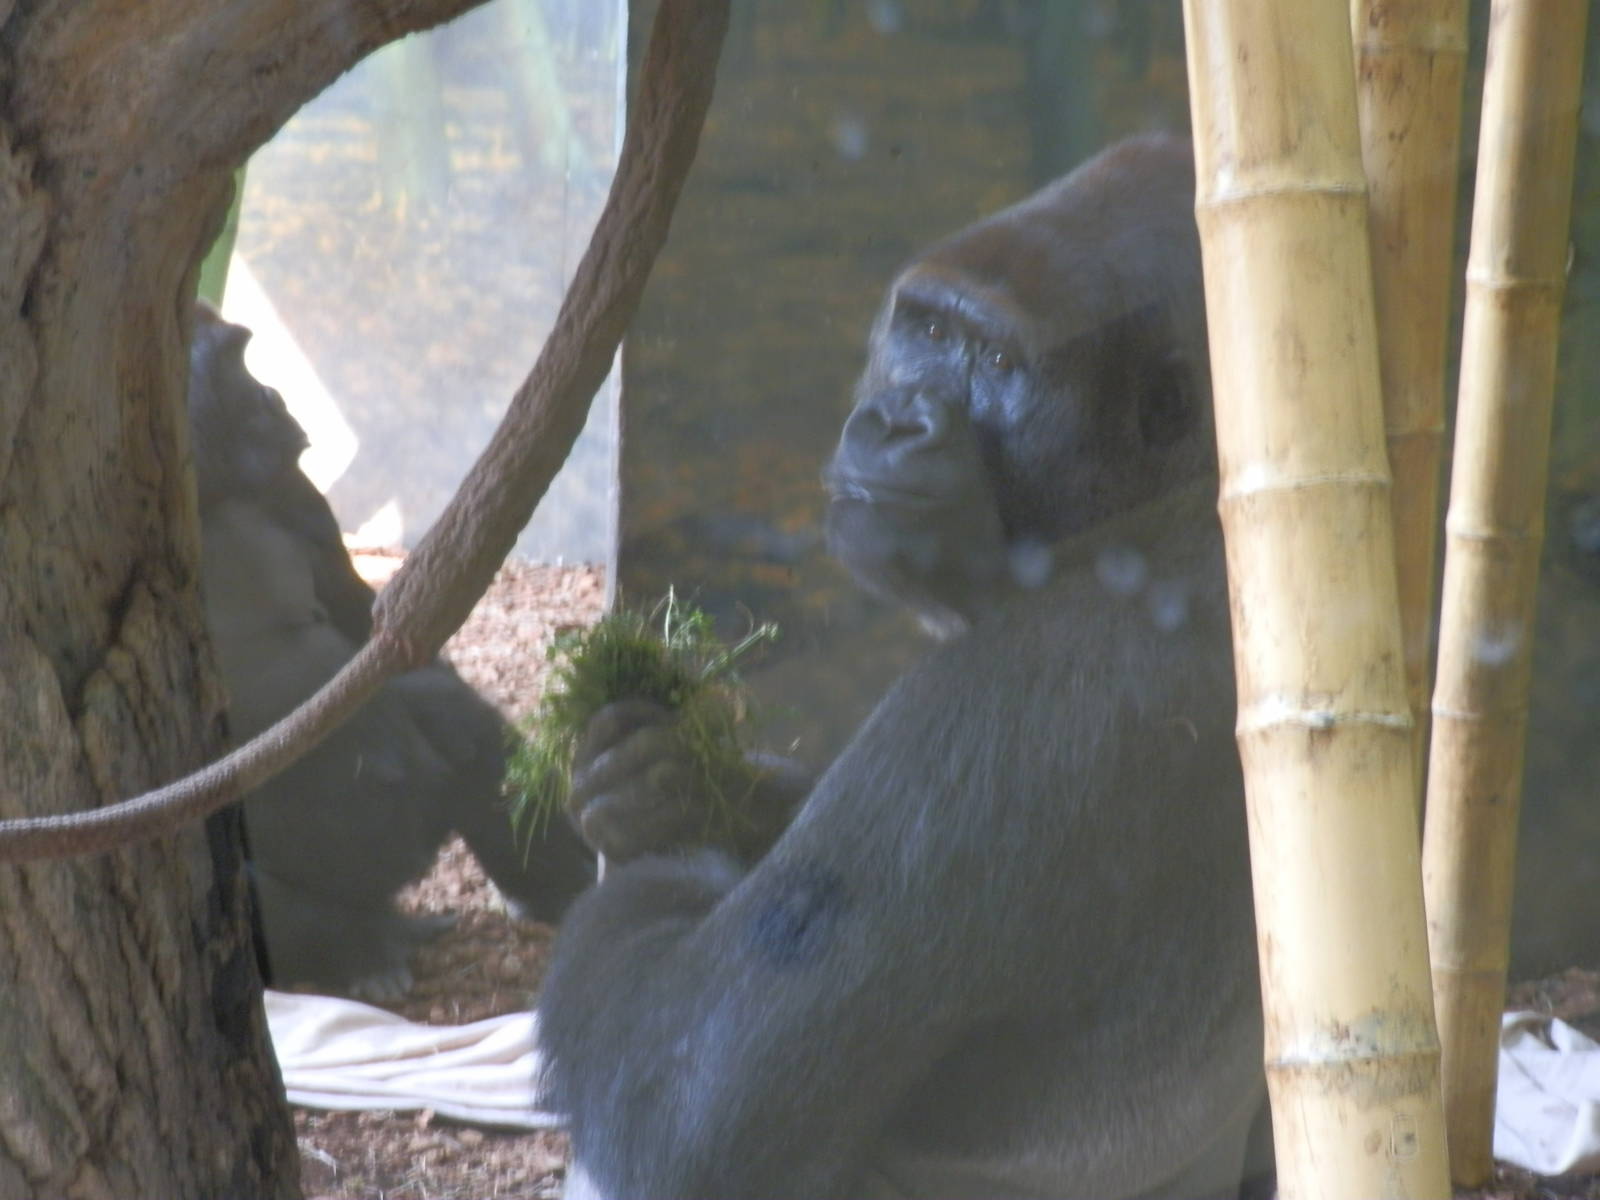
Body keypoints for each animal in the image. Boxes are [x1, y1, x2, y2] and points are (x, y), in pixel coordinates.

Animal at [189, 305, 594, 997]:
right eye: (237, 360)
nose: (273, 395)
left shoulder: (294, 491)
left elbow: (376, 633)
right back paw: (364, 950)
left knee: (459, 728)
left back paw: (560, 893)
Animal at [535, 134, 1273, 1200]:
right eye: (926, 330)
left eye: (999, 362)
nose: (893, 424)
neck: (1176, 513)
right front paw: (654, 776)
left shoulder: (1025, 700)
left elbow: (691, 1115)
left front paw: (660, 857)